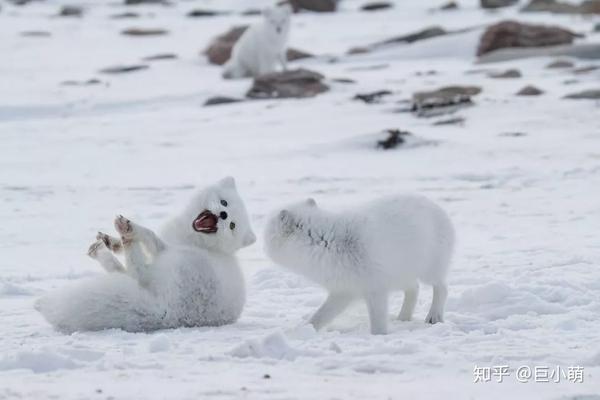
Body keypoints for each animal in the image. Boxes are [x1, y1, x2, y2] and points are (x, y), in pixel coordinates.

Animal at [35, 178, 255, 334]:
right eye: (224, 202)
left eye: (232, 226)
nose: (224, 215)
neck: (195, 240)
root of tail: (169, 314)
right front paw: (112, 241)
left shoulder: (165, 247)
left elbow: (150, 235)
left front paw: (129, 231)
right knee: (127, 273)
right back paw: (104, 247)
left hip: (176, 262)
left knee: (136, 272)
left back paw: (123, 235)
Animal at [262, 195, 454, 334]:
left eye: (268, 232)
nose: (262, 246)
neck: (326, 243)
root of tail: (437, 208)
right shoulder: (343, 291)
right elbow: (321, 315)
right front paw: (303, 330)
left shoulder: (375, 289)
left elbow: (377, 320)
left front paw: (379, 336)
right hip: (401, 274)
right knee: (414, 289)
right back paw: (403, 317)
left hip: (429, 270)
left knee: (442, 288)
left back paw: (434, 316)